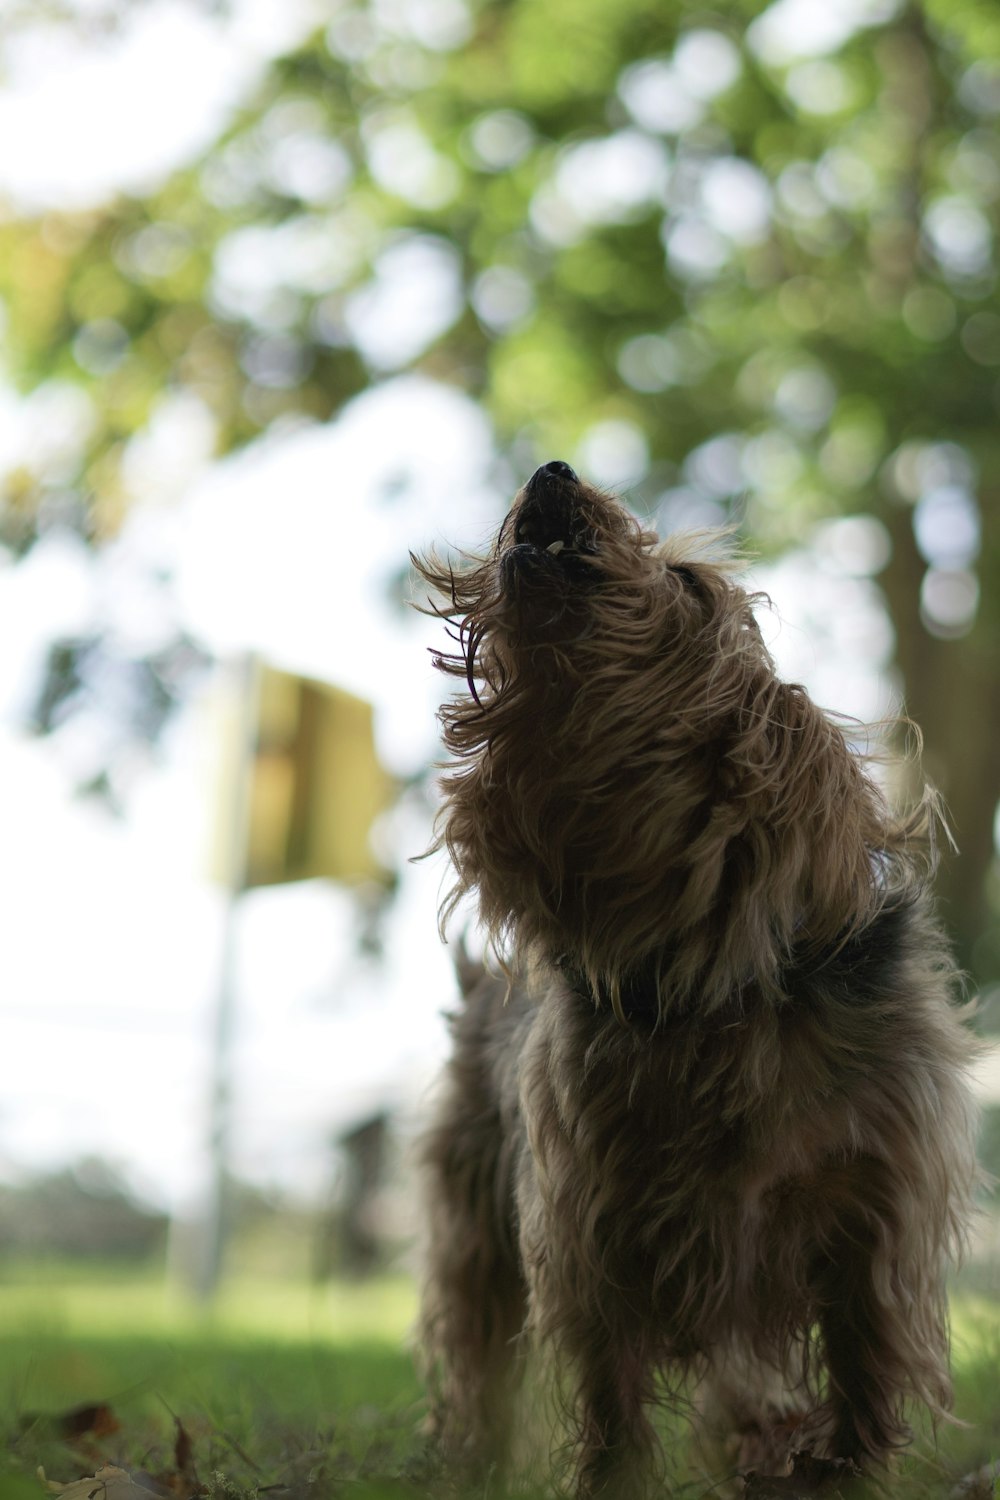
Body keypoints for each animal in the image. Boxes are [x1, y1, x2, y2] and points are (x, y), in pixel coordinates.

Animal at [413, 462, 977, 1494]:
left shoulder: (875, 1209)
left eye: (686, 585)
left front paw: (837, 1469)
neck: (707, 982)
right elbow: (610, 1402)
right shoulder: (592, 1225)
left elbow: (867, 1363)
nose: (552, 469)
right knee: (474, 1346)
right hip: (473, 1212)